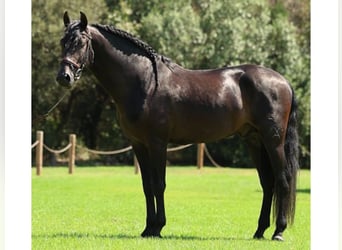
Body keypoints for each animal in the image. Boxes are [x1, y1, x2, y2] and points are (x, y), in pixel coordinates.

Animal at [56, 11, 300, 240]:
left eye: (80, 42)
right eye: (62, 42)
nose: (64, 77)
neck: (145, 82)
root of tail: (283, 81)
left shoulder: (158, 143)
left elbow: (159, 184)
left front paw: (158, 227)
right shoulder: (138, 144)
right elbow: (147, 185)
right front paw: (148, 228)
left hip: (273, 140)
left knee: (282, 180)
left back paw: (278, 231)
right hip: (254, 140)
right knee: (267, 183)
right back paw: (259, 230)